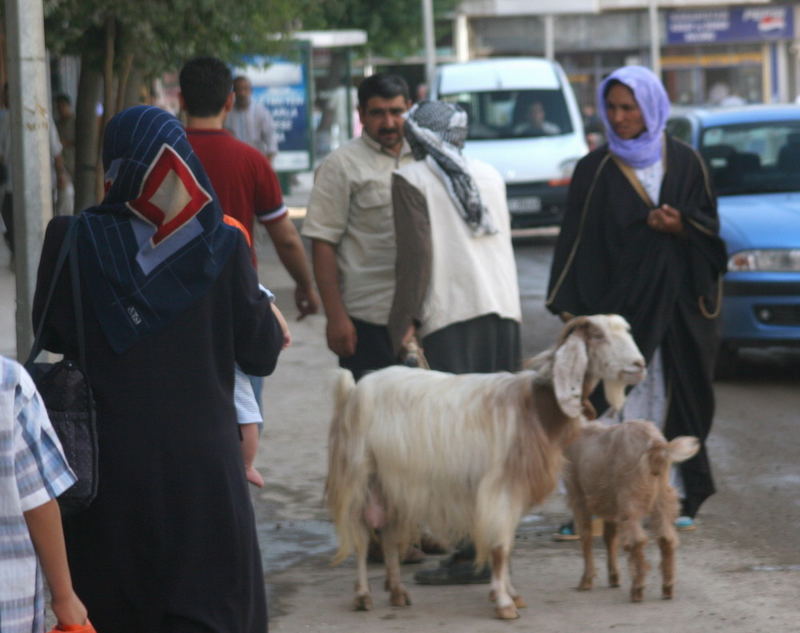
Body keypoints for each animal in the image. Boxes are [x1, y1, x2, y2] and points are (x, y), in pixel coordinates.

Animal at [324, 314, 644, 620]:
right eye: (598, 335)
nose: (639, 365)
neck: (533, 407)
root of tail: (354, 389)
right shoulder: (499, 488)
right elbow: (500, 547)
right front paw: (504, 603)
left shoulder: (514, 490)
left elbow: (507, 545)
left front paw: (511, 594)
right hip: (360, 475)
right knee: (361, 536)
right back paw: (363, 596)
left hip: (392, 483)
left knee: (389, 535)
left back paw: (397, 592)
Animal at [564, 420, 700, 604]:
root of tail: (655, 444)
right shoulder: (611, 504)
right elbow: (610, 537)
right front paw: (614, 577)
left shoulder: (577, 494)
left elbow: (586, 535)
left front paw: (586, 581)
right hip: (662, 496)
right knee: (666, 538)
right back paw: (667, 588)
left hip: (630, 495)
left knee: (637, 539)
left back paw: (637, 590)